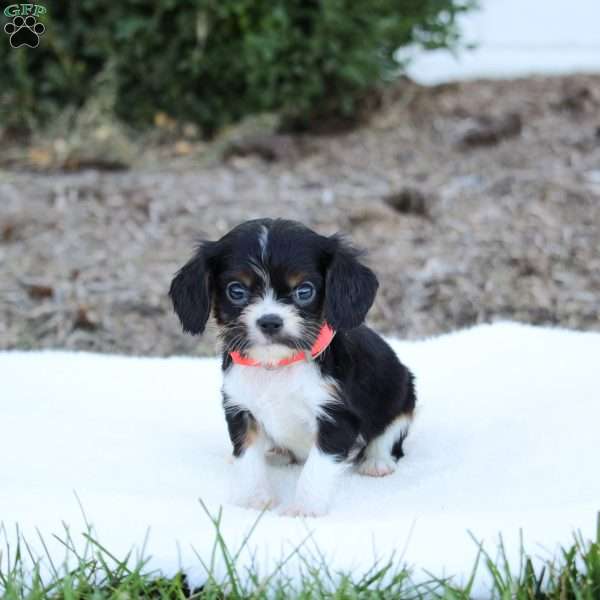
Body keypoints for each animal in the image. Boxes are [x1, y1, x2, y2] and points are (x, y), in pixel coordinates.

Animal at [169, 219, 412, 516]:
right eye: (236, 291)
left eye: (304, 291)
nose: (270, 321)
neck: (278, 364)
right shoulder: (240, 410)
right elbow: (247, 459)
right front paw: (253, 500)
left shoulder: (336, 417)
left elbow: (316, 468)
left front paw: (304, 509)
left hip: (403, 394)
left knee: (389, 434)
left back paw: (376, 462)